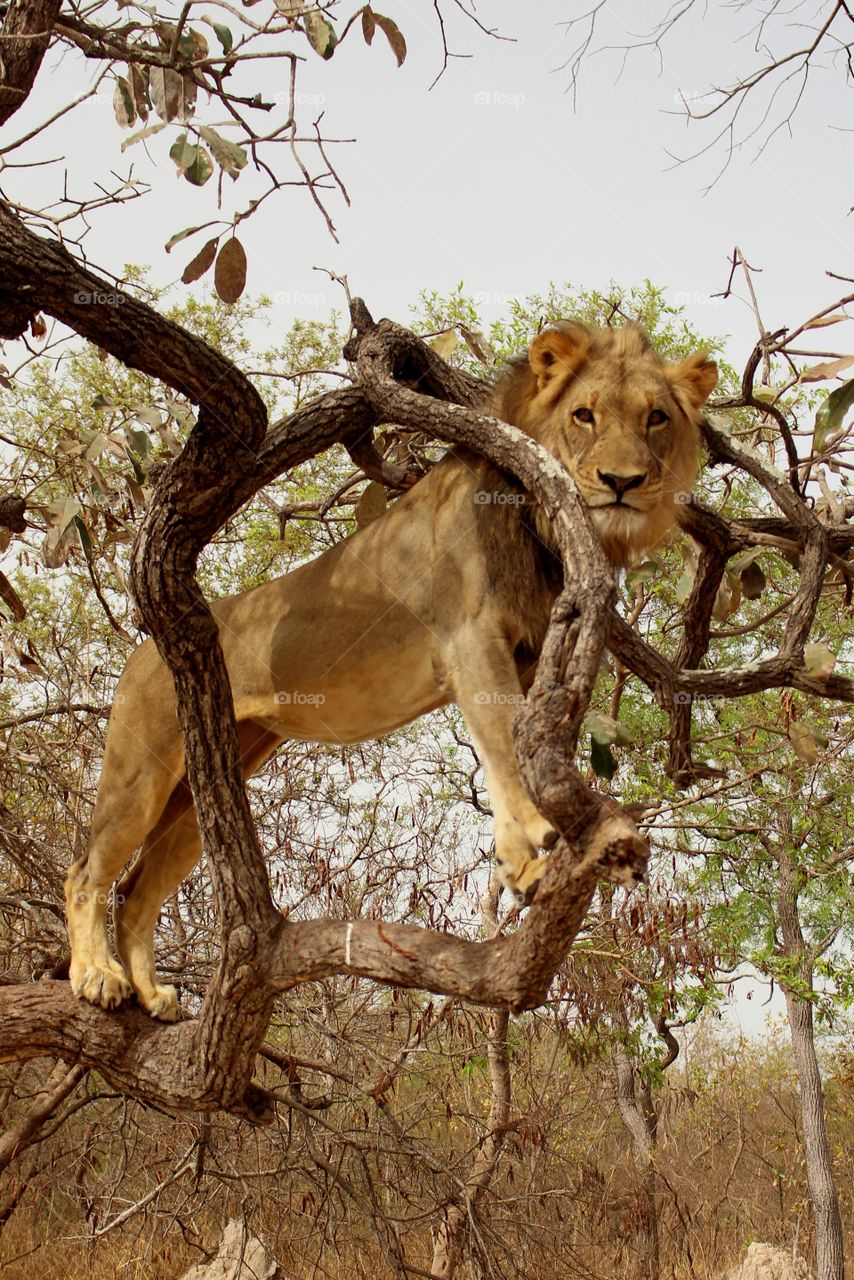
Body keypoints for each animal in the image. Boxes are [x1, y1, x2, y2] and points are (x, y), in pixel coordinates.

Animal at [65, 322, 717, 1018]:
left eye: (655, 419)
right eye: (584, 415)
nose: (622, 481)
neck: (533, 512)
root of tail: (143, 645)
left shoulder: (528, 655)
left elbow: (521, 745)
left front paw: (535, 850)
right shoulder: (469, 638)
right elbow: (504, 749)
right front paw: (533, 852)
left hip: (206, 786)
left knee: (137, 890)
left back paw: (149, 993)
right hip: (142, 773)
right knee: (85, 872)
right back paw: (97, 977)